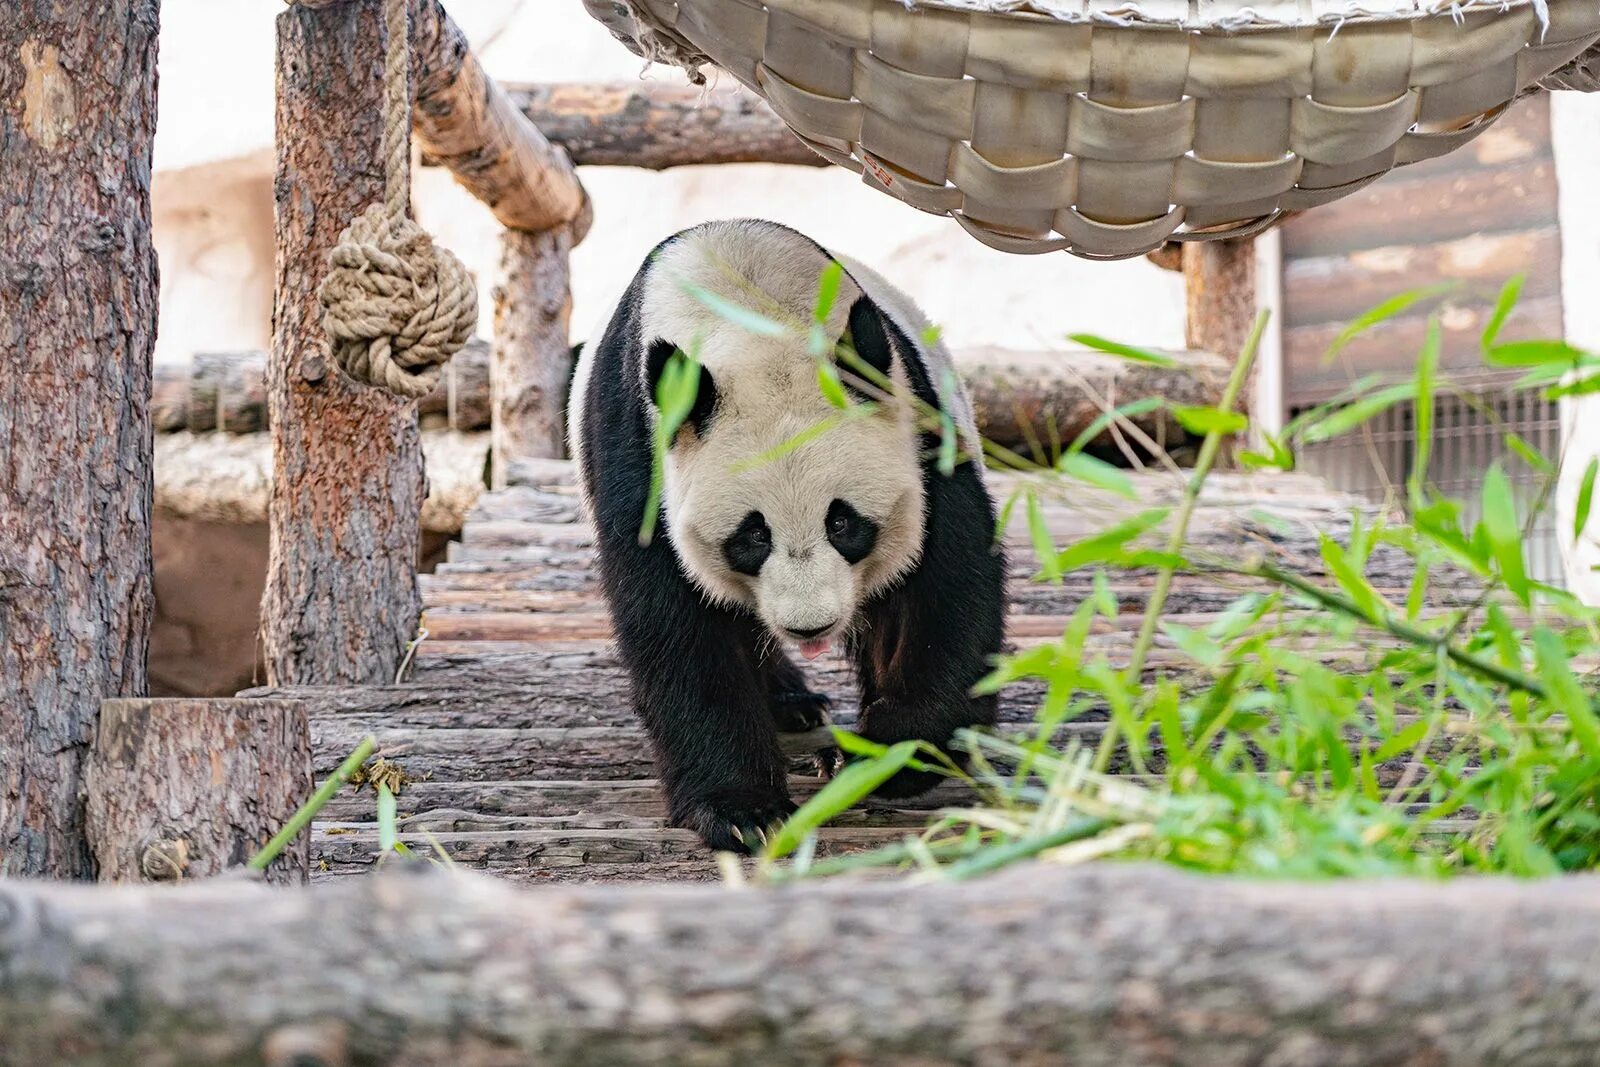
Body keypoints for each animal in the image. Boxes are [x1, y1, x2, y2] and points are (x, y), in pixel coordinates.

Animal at [572, 220, 998, 857]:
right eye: (752, 536)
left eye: (842, 523)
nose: (809, 627)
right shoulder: (642, 452)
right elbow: (677, 627)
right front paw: (744, 812)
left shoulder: (918, 433)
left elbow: (948, 590)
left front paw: (882, 758)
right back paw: (790, 705)